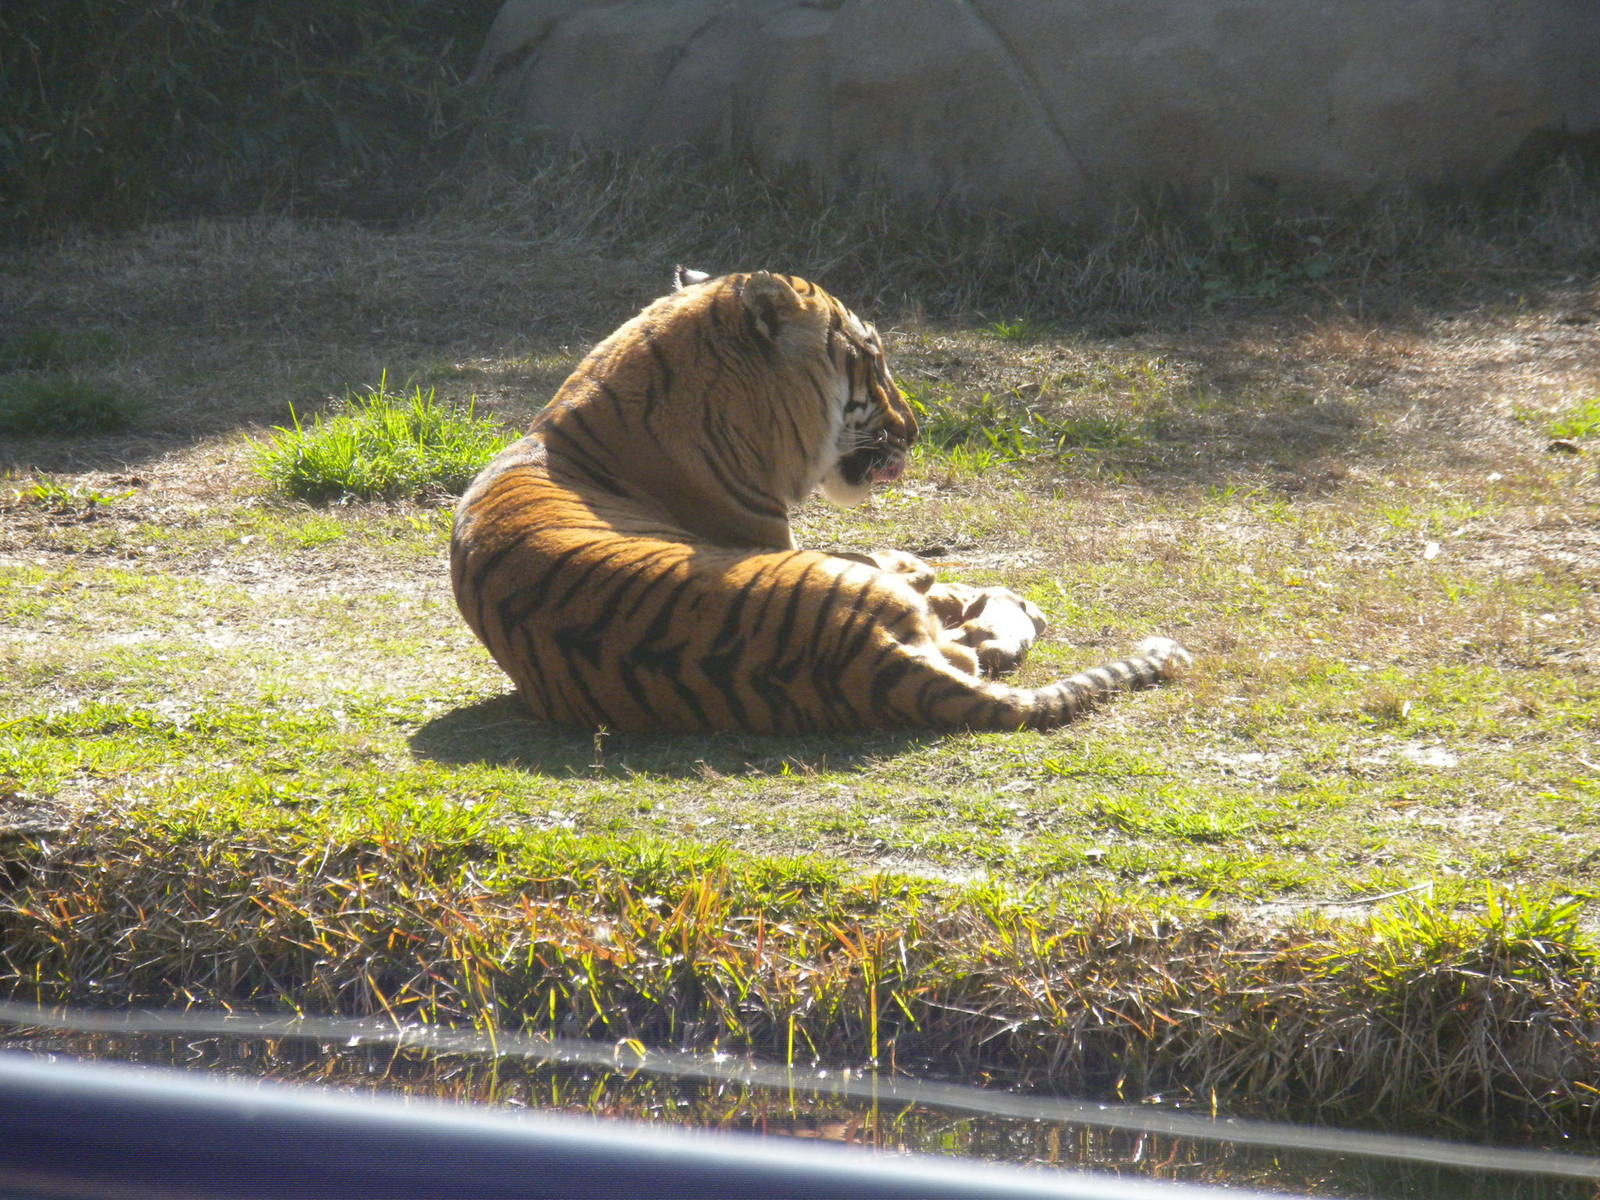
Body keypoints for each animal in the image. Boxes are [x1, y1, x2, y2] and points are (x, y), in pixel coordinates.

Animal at [449, 267, 1190, 733]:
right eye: (873, 361)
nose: (916, 426)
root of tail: (858, 653)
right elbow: (895, 562)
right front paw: (932, 574)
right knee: (976, 649)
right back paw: (999, 602)